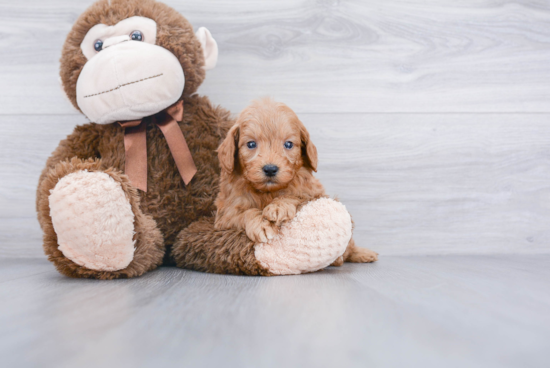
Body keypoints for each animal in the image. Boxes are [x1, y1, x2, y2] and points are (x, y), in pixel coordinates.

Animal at [216, 98, 380, 264]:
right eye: (251, 144)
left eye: (288, 144)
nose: (270, 169)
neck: (268, 192)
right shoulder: (224, 218)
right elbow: (245, 213)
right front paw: (261, 224)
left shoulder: (315, 194)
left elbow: (297, 196)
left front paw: (279, 207)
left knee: (349, 247)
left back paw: (361, 253)